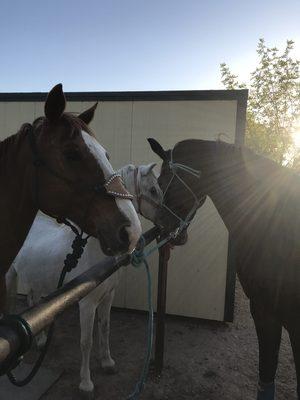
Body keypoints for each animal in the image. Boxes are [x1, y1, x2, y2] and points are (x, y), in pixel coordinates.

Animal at [7, 162, 162, 394]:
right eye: (153, 190)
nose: (166, 224)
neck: (95, 252)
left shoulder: (108, 296)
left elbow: (105, 328)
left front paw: (107, 363)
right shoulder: (87, 303)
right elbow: (86, 341)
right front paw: (86, 383)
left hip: (37, 280)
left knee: (33, 301)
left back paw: (41, 341)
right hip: (10, 276)